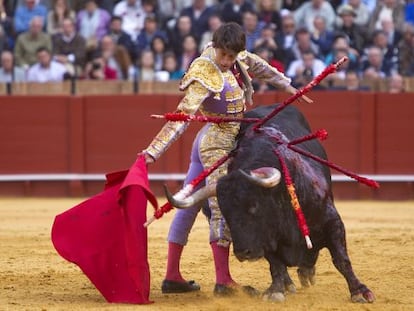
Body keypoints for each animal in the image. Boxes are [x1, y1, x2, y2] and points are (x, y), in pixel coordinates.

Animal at [166, 104, 376, 302]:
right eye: (225, 214)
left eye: (254, 207)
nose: (243, 253)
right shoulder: (265, 237)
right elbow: (275, 263)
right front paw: (276, 290)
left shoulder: (332, 222)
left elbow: (341, 259)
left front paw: (360, 292)